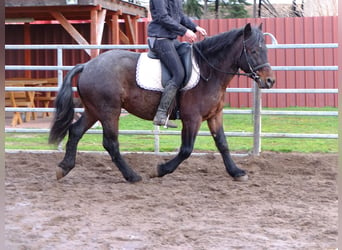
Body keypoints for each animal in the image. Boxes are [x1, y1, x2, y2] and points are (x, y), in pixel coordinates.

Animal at [48, 23, 276, 184]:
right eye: (253, 51)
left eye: (264, 50)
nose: (270, 81)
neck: (208, 71)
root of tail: (87, 65)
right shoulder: (192, 118)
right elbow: (186, 149)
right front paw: (159, 170)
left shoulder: (214, 115)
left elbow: (222, 144)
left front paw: (236, 172)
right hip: (109, 111)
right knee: (110, 143)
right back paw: (132, 176)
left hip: (94, 110)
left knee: (76, 131)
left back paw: (63, 168)